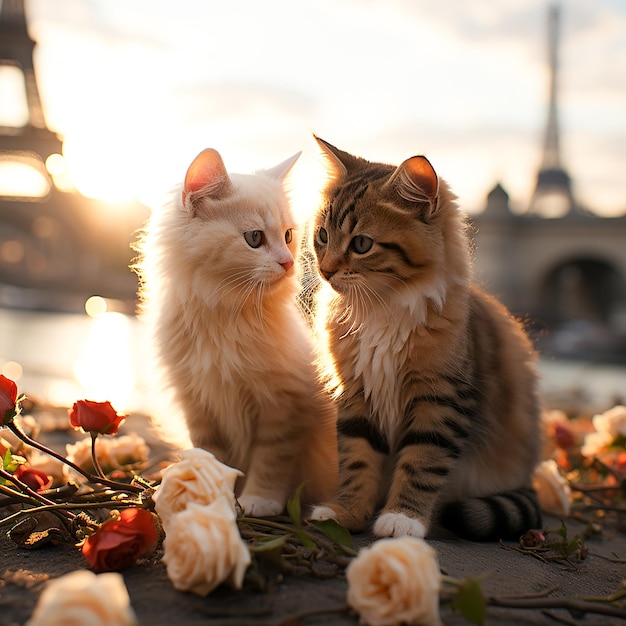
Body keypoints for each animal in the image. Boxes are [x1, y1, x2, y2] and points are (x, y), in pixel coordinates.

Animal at [135, 147, 336, 516]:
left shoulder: (283, 405)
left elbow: (271, 460)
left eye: (288, 236)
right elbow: (211, 456)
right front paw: (208, 492)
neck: (225, 314)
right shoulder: (198, 405)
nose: (288, 263)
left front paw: (259, 500)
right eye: (254, 238)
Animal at [308, 139, 540, 540]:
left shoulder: (441, 399)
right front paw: (347, 513)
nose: (325, 270)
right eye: (322, 236)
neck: (380, 306)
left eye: (362, 244)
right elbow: (357, 461)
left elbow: (422, 463)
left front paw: (402, 519)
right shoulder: (357, 393)